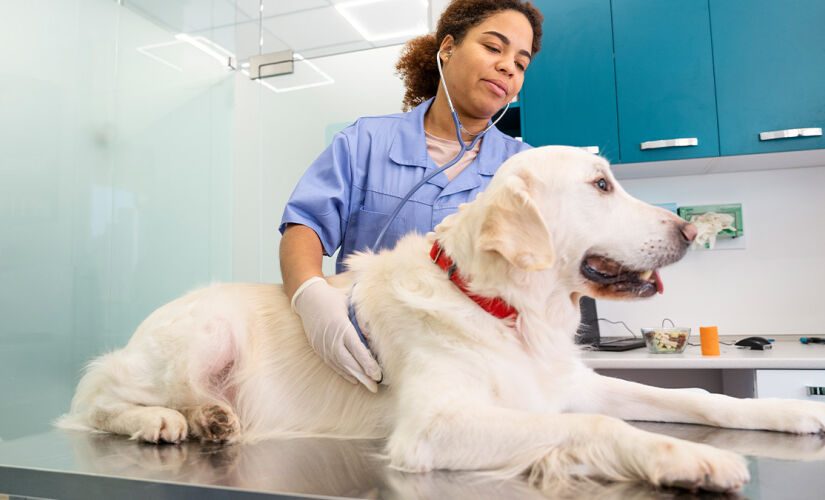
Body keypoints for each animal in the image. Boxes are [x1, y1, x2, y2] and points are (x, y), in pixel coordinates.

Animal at [58, 146, 824, 492]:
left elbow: (694, 395)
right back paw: (174, 420)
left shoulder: (568, 384)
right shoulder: (435, 425)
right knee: (100, 401)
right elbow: (599, 427)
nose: (691, 231)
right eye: (602, 185)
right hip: (203, 329)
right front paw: (688, 457)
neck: (502, 308)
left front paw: (789, 413)